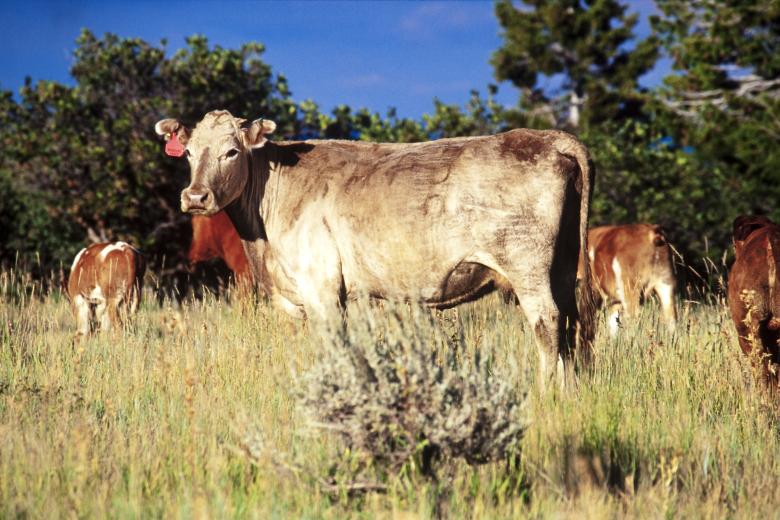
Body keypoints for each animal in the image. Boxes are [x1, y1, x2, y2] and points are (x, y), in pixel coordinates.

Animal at [155, 110, 596, 389]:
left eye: (231, 151)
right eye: (189, 153)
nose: (195, 197)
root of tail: (543, 137)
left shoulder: (321, 288)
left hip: (526, 265)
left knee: (547, 322)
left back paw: (545, 392)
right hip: (563, 264)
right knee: (573, 325)